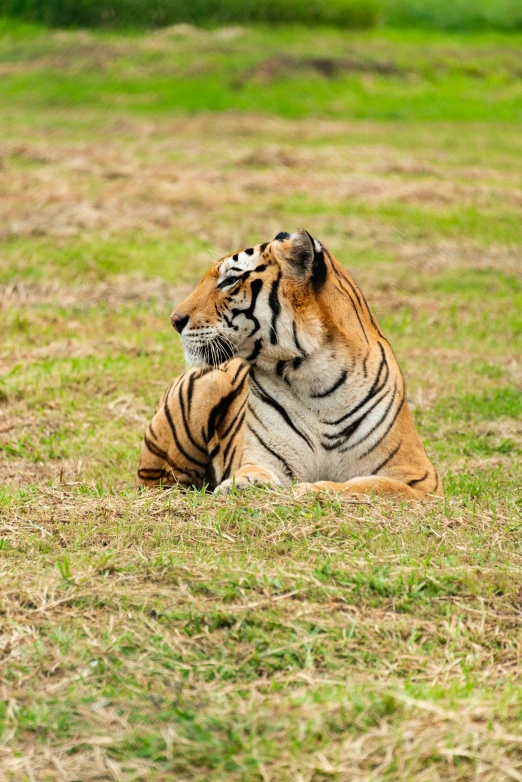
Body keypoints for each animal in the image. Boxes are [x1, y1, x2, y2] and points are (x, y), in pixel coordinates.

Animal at [136, 230, 440, 500]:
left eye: (230, 280)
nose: (175, 320)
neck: (315, 381)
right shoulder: (263, 456)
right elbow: (253, 470)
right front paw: (242, 485)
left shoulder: (421, 479)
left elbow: (374, 485)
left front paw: (313, 489)